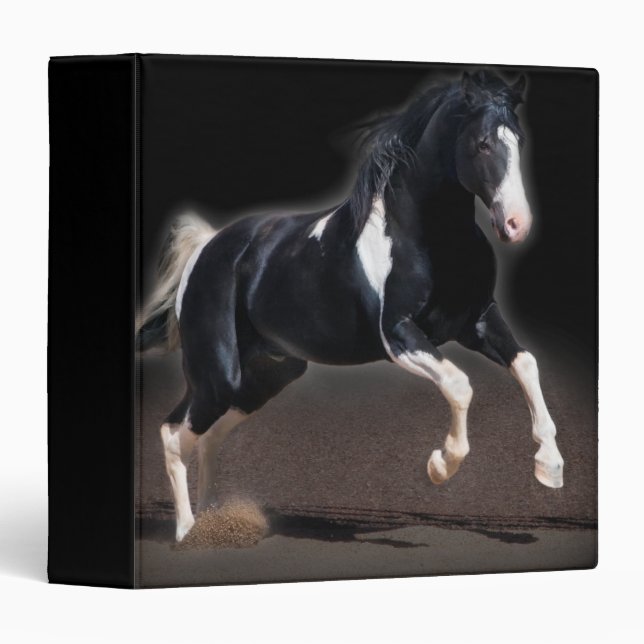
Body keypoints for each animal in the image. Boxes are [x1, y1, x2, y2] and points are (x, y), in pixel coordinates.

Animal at [137, 70, 564, 542]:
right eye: (484, 143)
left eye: (519, 140)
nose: (516, 225)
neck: (428, 237)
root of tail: (207, 247)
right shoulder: (398, 336)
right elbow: (459, 384)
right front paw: (440, 466)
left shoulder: (478, 321)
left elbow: (527, 364)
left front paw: (550, 469)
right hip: (217, 374)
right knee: (174, 434)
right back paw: (187, 533)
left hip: (269, 373)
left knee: (207, 437)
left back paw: (214, 523)